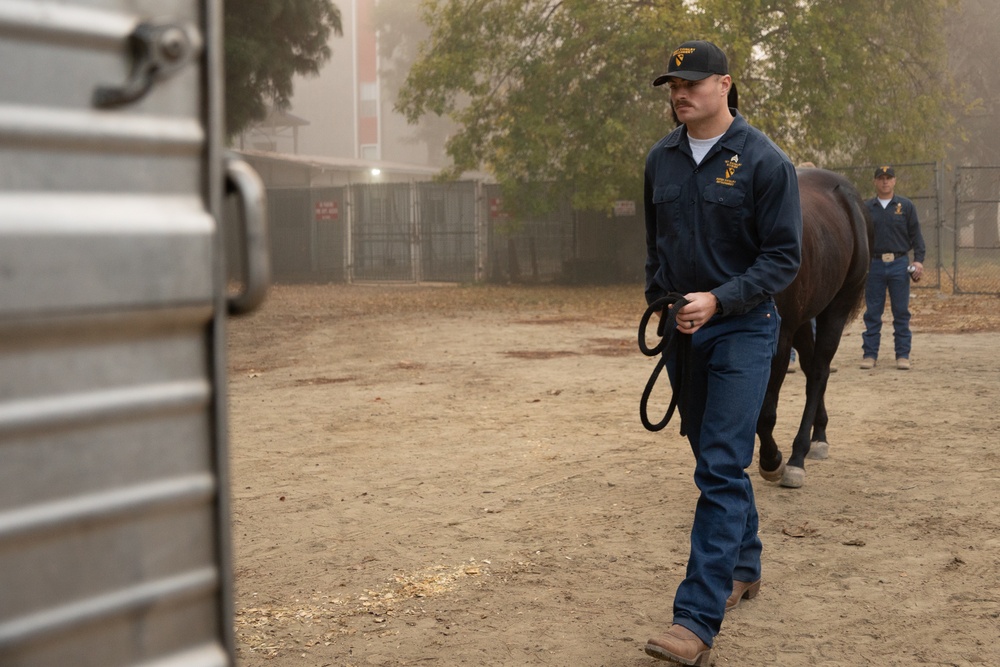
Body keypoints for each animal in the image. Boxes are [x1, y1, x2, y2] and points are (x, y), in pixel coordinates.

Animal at [756, 170, 876, 488]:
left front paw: (773, 461)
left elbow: (766, 414)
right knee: (812, 369)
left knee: (819, 372)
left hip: (835, 309)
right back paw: (819, 436)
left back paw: (798, 457)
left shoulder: (779, 342)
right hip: (803, 321)